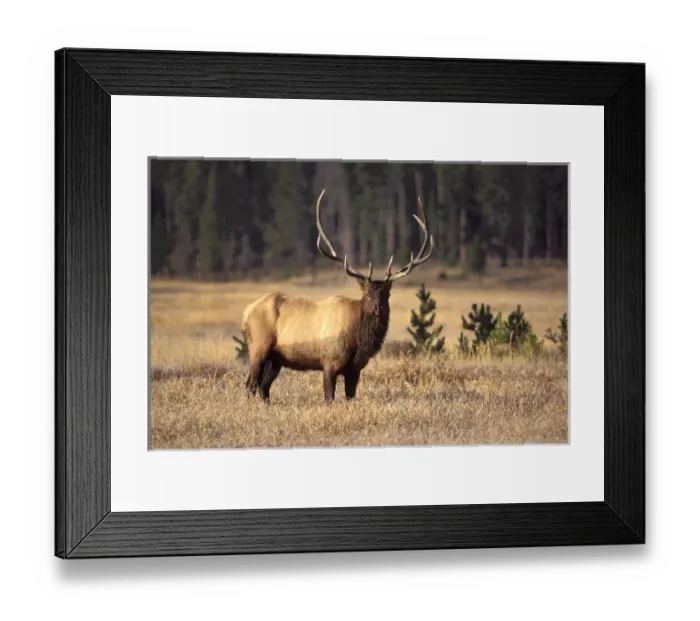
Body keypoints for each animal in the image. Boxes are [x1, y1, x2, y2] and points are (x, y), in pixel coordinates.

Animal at [239, 187, 434, 404]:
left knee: (264, 386)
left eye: (386, 294)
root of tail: (246, 311)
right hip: (257, 347)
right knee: (250, 384)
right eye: (366, 294)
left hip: (276, 358)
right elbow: (329, 397)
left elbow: (350, 397)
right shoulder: (329, 362)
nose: (378, 308)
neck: (358, 340)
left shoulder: (355, 369)